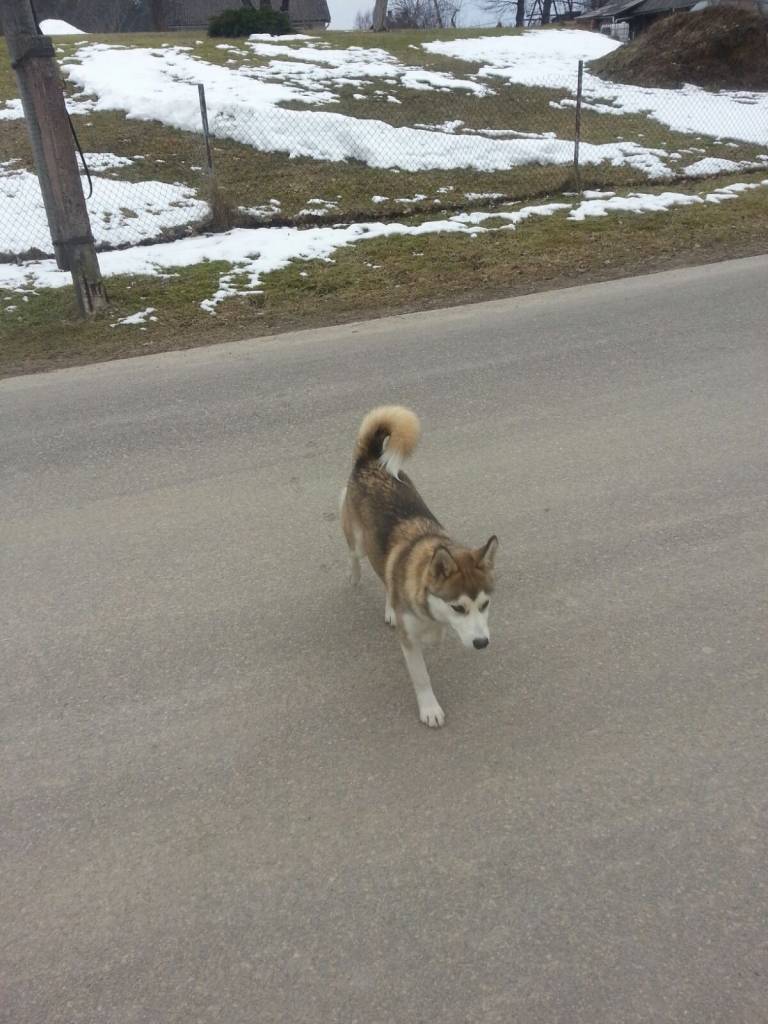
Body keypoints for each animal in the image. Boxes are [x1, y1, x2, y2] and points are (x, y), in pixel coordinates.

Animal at [342, 407, 499, 729]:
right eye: (458, 607)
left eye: (485, 604)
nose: (482, 643)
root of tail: (371, 459)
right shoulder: (409, 641)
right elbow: (422, 677)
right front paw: (430, 708)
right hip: (358, 541)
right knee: (354, 554)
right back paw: (354, 575)